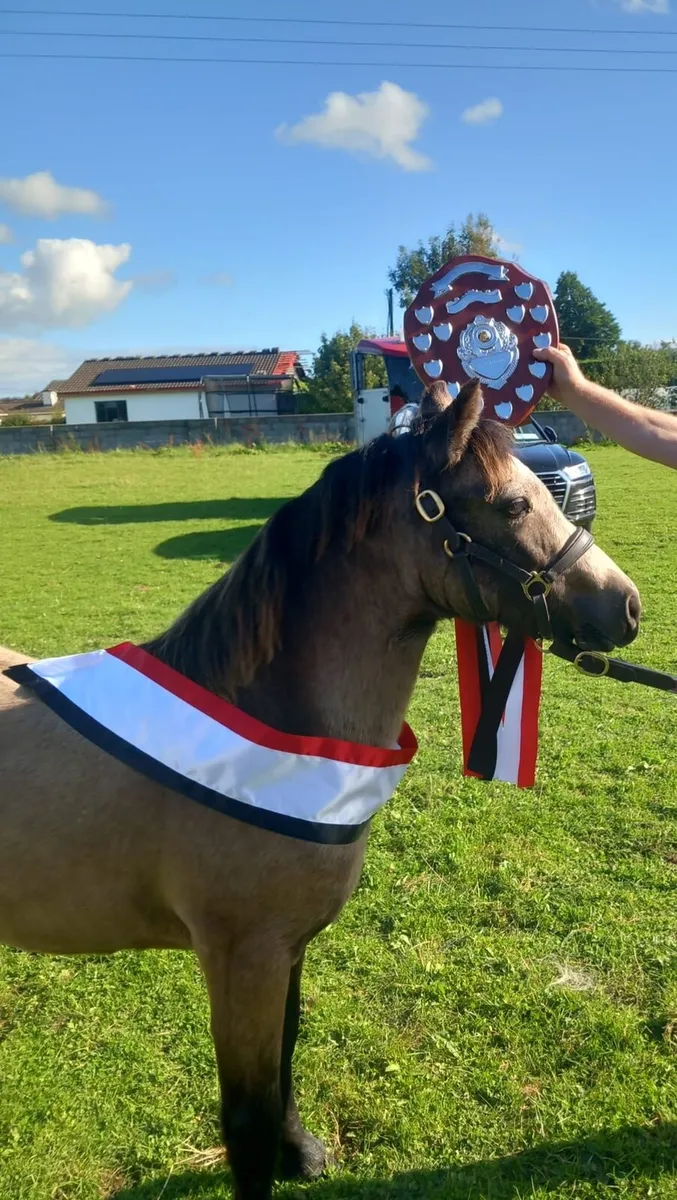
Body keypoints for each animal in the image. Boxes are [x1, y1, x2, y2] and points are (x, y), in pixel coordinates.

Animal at [0, 380, 640, 1200]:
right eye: (513, 504)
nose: (626, 606)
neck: (265, 723)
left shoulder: (288, 950)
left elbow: (285, 1060)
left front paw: (301, 1151)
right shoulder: (242, 959)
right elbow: (246, 1121)